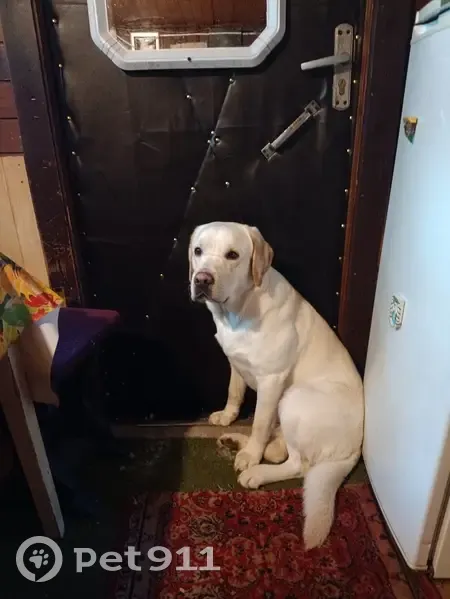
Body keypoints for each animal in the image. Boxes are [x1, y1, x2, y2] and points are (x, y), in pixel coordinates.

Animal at [189, 221, 364, 549]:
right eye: (198, 251)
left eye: (233, 255)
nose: (202, 279)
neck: (239, 310)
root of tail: (356, 447)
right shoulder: (235, 361)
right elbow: (235, 393)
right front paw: (228, 416)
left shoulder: (272, 381)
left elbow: (259, 422)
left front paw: (250, 456)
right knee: (278, 446)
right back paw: (237, 441)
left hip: (293, 398)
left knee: (296, 463)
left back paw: (256, 469)